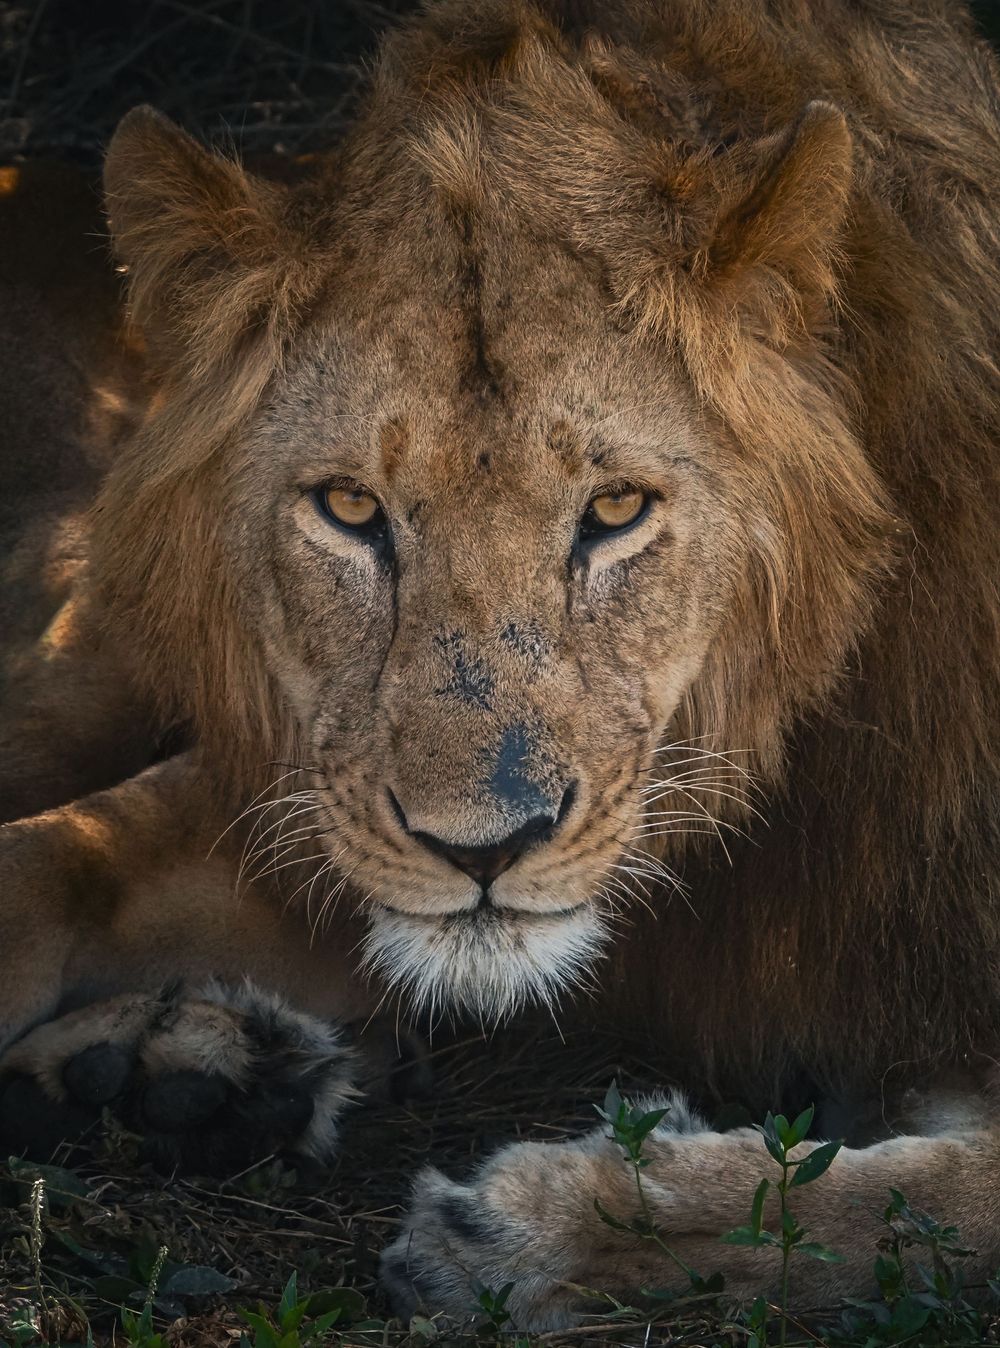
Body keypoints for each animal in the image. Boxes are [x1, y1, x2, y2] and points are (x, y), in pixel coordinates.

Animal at [2, 0, 1000, 1328]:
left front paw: (532, 1228)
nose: (482, 851)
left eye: (616, 507)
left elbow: (926, 1209)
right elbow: (53, 864)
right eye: (350, 506)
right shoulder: (326, 795)